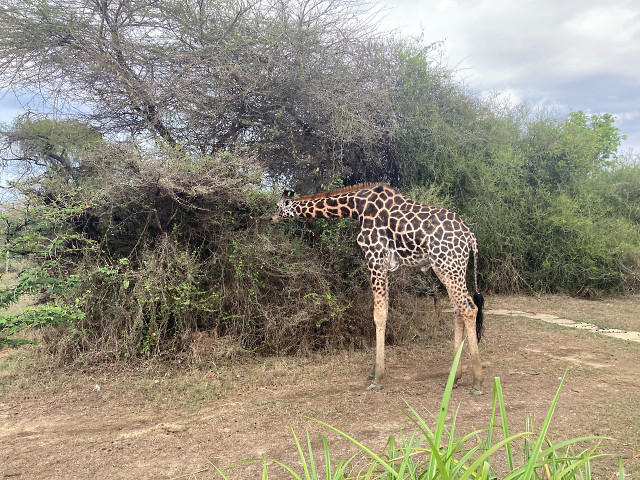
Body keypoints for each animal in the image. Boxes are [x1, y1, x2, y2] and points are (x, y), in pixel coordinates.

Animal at [271, 182, 485, 394]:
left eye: (277, 206)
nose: (271, 219)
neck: (356, 207)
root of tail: (471, 237)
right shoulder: (384, 264)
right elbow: (384, 311)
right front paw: (375, 373)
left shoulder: (375, 257)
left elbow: (379, 314)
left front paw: (377, 378)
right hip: (448, 268)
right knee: (458, 310)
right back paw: (454, 379)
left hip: (448, 265)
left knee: (469, 308)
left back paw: (477, 382)